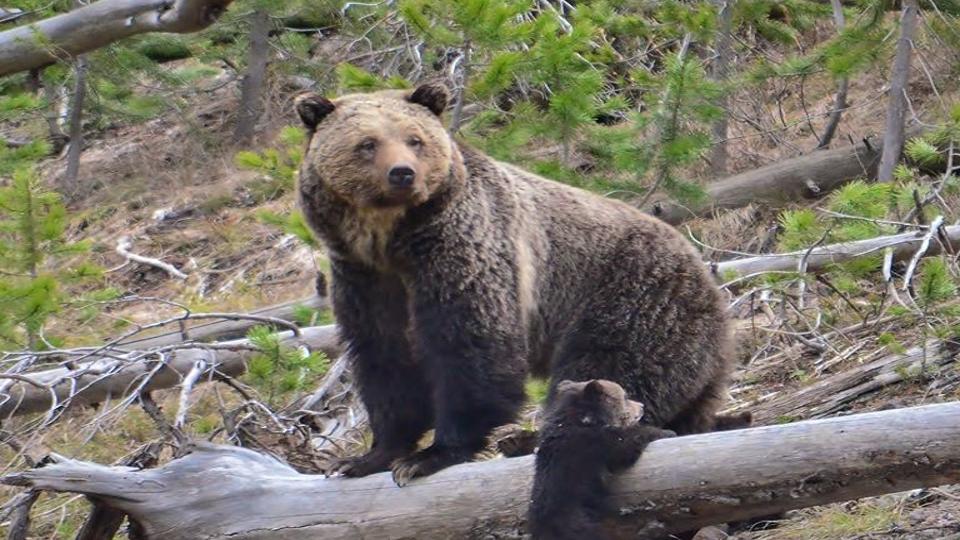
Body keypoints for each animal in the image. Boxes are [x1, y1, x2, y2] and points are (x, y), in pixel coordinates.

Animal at [294, 82, 734, 486]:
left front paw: (432, 454)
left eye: (414, 139)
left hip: (633, 299)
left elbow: (471, 346)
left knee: (609, 369)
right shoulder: (364, 278)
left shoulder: (462, 251)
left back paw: (528, 438)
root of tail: (711, 283)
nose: (402, 173)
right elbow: (384, 359)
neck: (391, 240)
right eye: (367, 143)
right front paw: (367, 457)